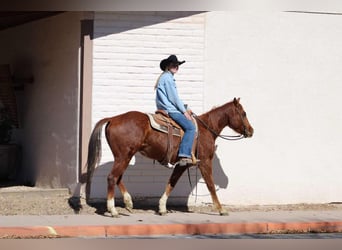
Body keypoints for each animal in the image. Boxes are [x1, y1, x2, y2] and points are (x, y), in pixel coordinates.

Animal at [85, 97, 254, 217]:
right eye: (244, 113)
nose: (251, 130)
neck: (206, 129)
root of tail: (113, 118)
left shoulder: (182, 165)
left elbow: (172, 183)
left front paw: (162, 207)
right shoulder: (205, 162)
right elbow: (211, 185)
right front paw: (220, 209)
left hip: (123, 157)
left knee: (118, 178)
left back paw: (128, 203)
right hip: (123, 156)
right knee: (112, 177)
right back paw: (113, 210)